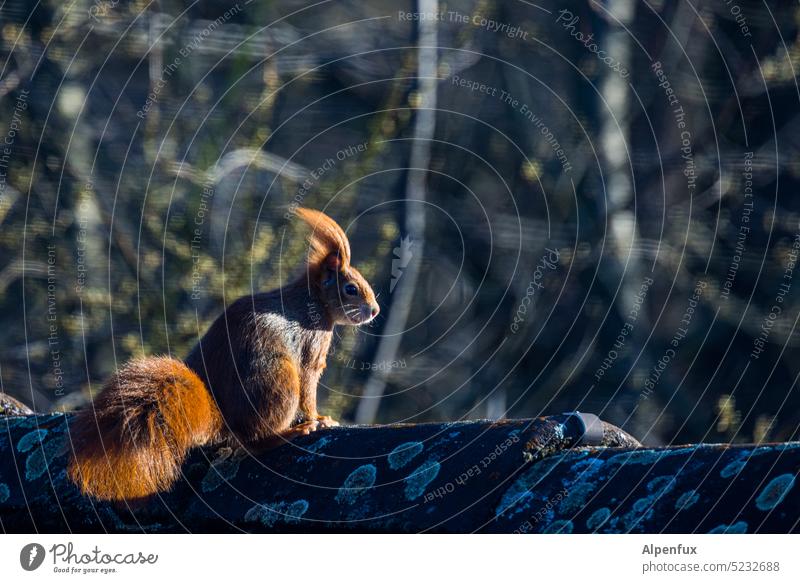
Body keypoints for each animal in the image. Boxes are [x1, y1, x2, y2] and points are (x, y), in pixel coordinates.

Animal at [67, 210, 380, 502]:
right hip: (278, 381)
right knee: (255, 441)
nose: (375, 311)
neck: (313, 300)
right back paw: (289, 433)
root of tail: (225, 418)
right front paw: (321, 418)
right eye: (351, 289)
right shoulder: (312, 348)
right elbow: (309, 388)